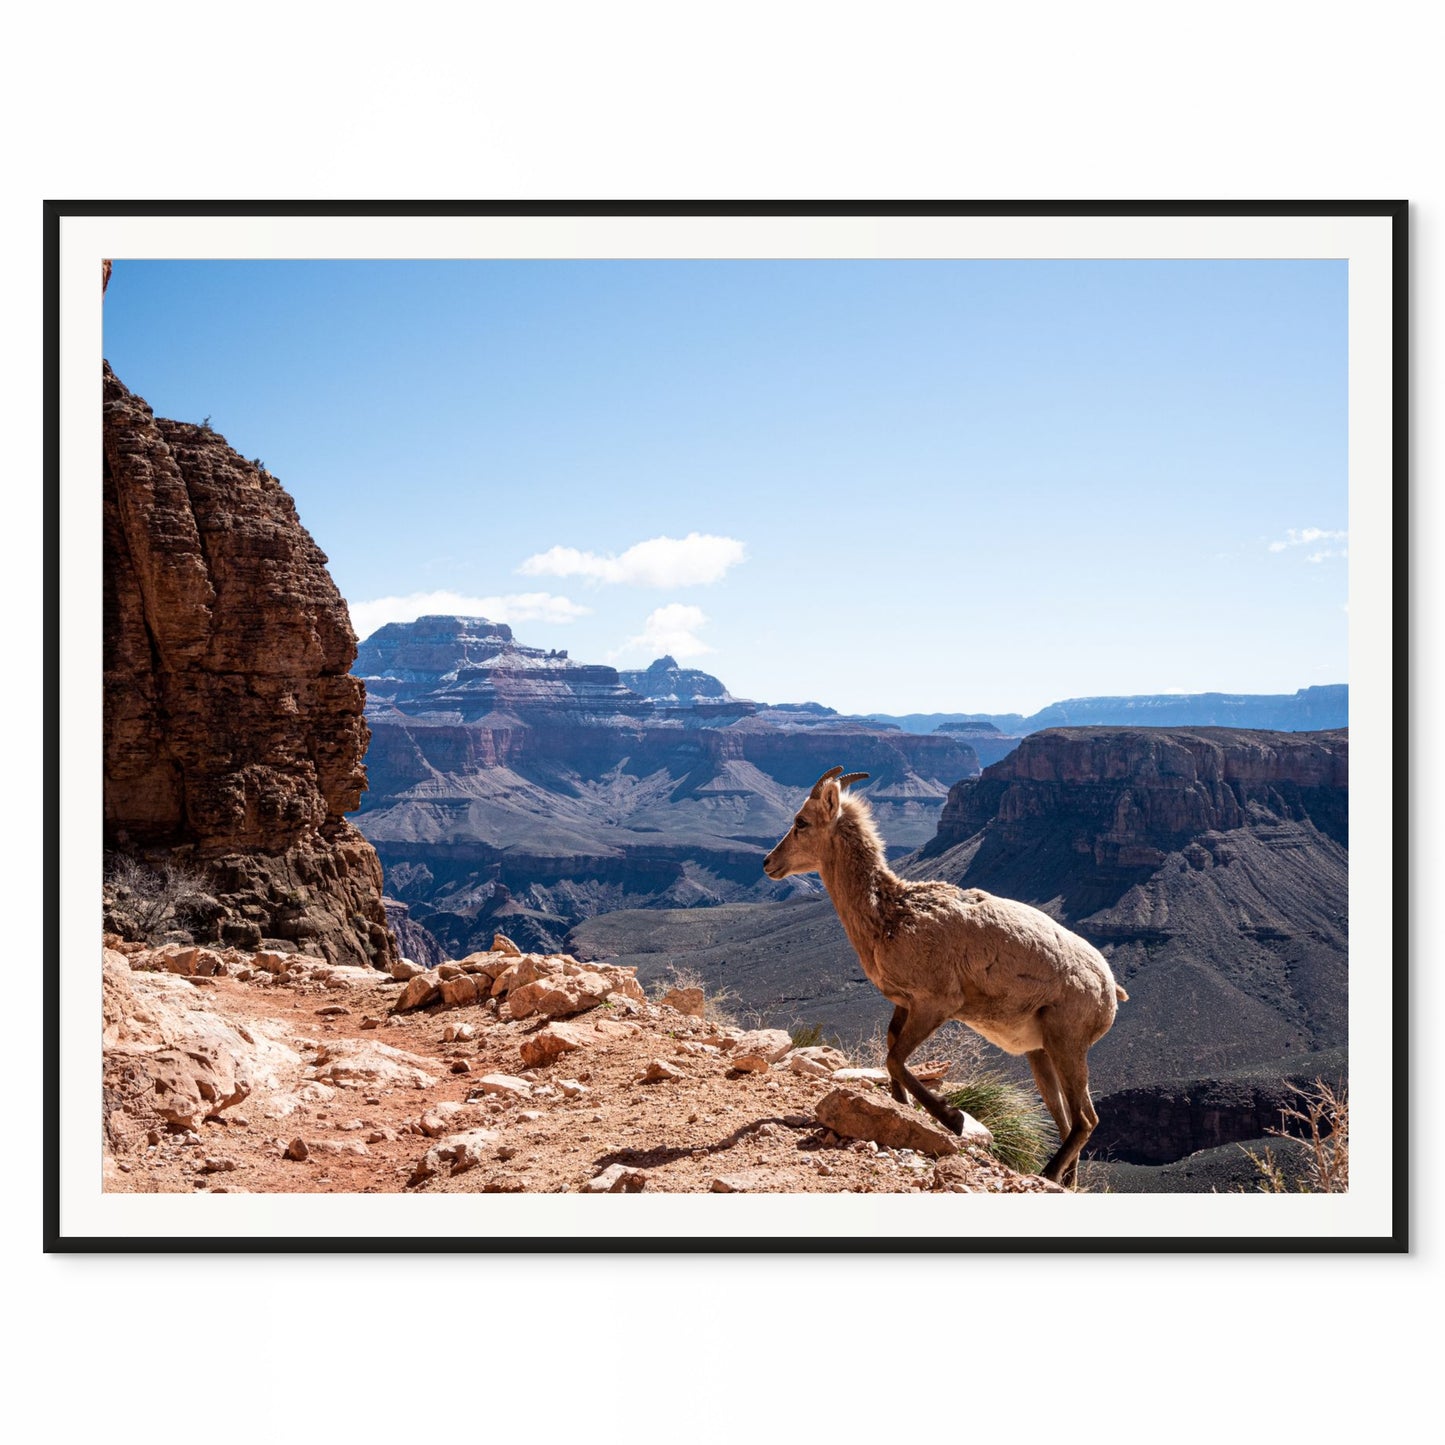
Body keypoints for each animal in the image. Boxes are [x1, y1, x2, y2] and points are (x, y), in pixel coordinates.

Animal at [762, 768, 1121, 1184]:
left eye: (801, 822)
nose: (768, 863)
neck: (891, 915)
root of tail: (1110, 989)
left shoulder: (936, 1004)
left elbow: (895, 1058)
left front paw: (952, 1119)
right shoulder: (905, 1004)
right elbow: (891, 1048)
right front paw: (902, 1106)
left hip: (1068, 1044)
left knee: (1086, 1120)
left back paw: (1047, 1174)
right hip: (1041, 1053)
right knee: (1067, 1121)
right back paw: (1064, 1181)